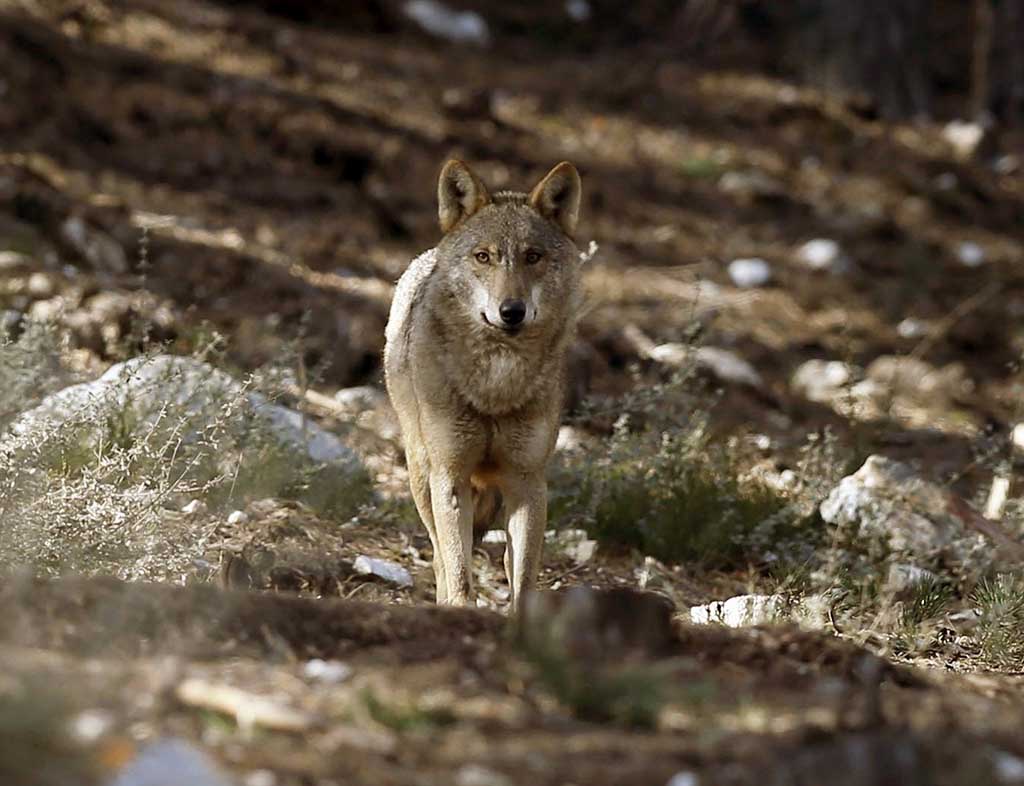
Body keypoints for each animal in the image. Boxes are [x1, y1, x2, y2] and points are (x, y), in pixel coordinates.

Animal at [384, 159, 584, 612]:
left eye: (533, 256)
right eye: (483, 257)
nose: (511, 311)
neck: (496, 384)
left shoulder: (528, 482)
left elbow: (523, 581)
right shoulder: (450, 475)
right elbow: (459, 573)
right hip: (421, 476)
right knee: (440, 557)